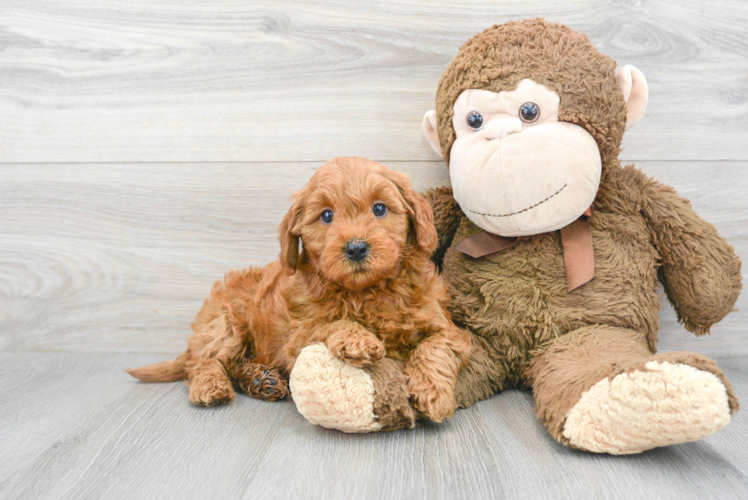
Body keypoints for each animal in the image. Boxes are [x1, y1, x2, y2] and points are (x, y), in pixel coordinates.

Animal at [128, 156, 468, 422]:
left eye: (380, 209)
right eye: (327, 215)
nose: (356, 248)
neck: (364, 292)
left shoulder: (447, 328)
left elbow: (435, 347)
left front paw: (432, 393)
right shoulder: (298, 337)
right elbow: (330, 323)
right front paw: (357, 338)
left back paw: (262, 381)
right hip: (226, 321)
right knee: (203, 362)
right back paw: (212, 386)